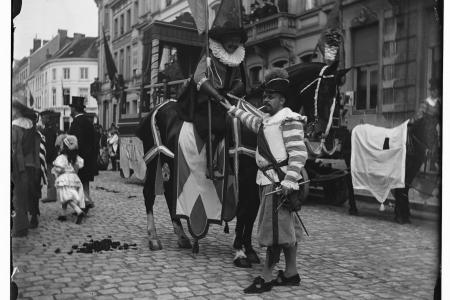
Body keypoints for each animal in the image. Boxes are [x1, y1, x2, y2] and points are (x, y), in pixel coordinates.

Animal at [137, 61, 348, 255]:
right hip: (154, 160)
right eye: (325, 91)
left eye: (339, 98)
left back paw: (181, 236)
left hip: (171, 161)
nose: (324, 133)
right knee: (149, 194)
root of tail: (155, 109)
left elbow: (252, 212)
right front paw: (240, 250)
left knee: (169, 192)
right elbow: (245, 211)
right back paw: (153, 238)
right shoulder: (246, 175)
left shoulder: (257, 177)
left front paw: (248, 249)